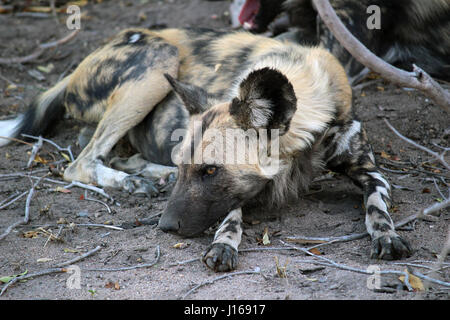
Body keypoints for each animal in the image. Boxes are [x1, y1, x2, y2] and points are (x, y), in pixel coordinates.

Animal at [0, 28, 412, 272]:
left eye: (210, 171)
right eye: (189, 167)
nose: (165, 226)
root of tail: (76, 67)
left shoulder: (370, 172)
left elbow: (376, 207)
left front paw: (386, 236)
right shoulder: (241, 190)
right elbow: (230, 214)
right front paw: (224, 244)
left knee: (106, 153)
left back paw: (149, 177)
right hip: (158, 62)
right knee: (82, 162)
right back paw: (139, 181)